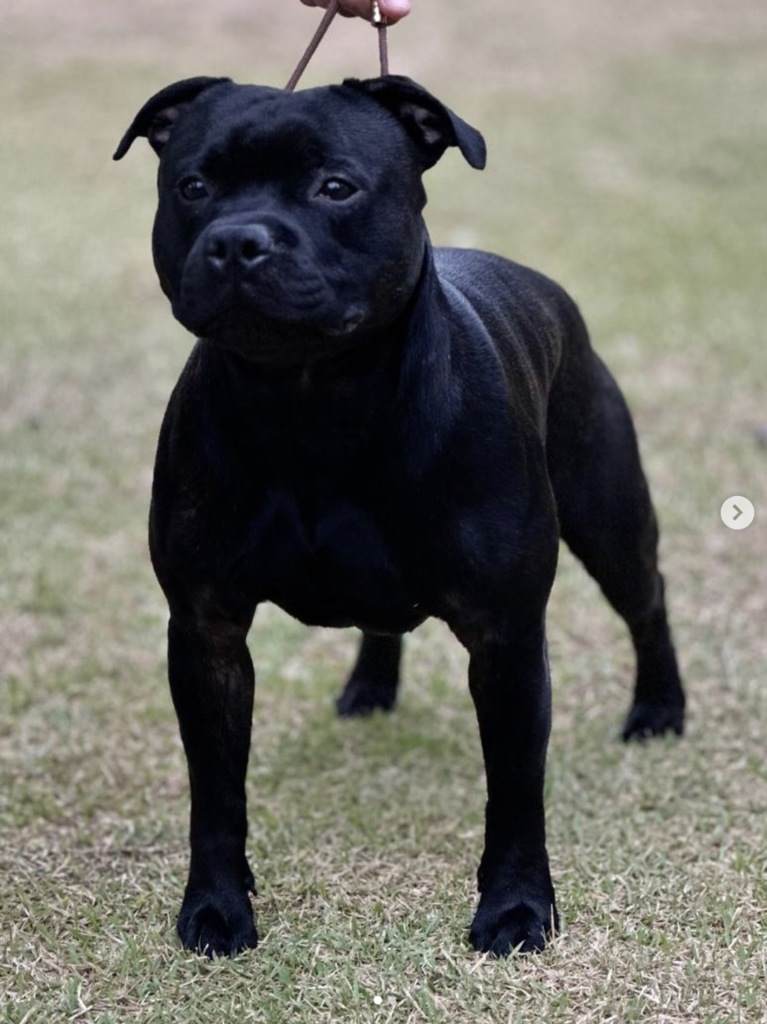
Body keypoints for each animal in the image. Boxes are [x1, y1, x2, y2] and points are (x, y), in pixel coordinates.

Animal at [114, 74, 685, 958]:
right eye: (193, 187)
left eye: (335, 187)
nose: (237, 241)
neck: (312, 399)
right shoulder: (206, 631)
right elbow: (214, 792)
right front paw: (215, 908)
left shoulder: (506, 637)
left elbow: (514, 791)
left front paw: (514, 910)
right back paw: (369, 687)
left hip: (608, 515)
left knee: (645, 598)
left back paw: (658, 709)